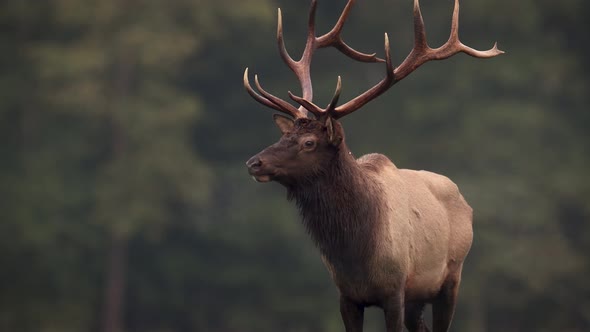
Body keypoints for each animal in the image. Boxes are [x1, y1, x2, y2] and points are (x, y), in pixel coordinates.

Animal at [245, 0, 504, 332]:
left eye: (309, 143)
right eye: (285, 135)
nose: (254, 163)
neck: (355, 254)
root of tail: (464, 200)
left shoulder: (394, 290)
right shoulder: (347, 296)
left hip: (451, 279)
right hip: (418, 298)